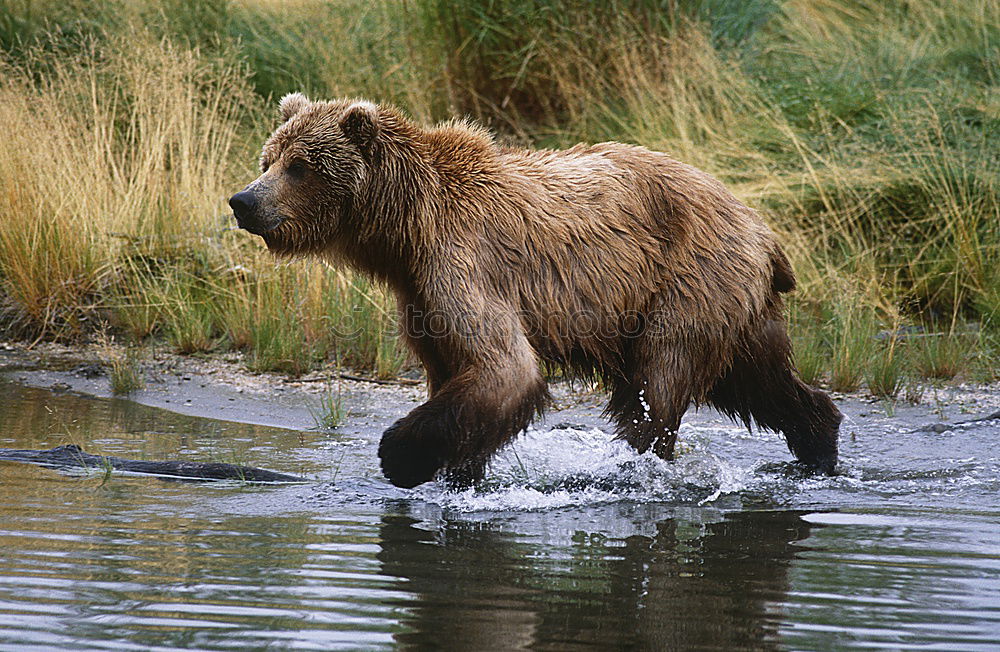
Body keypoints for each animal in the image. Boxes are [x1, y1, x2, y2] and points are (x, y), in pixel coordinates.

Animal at [230, 93, 840, 488]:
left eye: (300, 165)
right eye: (269, 158)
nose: (244, 200)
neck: (403, 229)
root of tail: (763, 230)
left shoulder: (461, 262)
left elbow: (506, 367)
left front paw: (399, 455)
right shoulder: (419, 293)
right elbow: (458, 373)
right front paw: (461, 470)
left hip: (686, 283)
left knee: (658, 383)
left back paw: (635, 466)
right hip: (739, 304)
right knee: (760, 381)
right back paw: (818, 440)